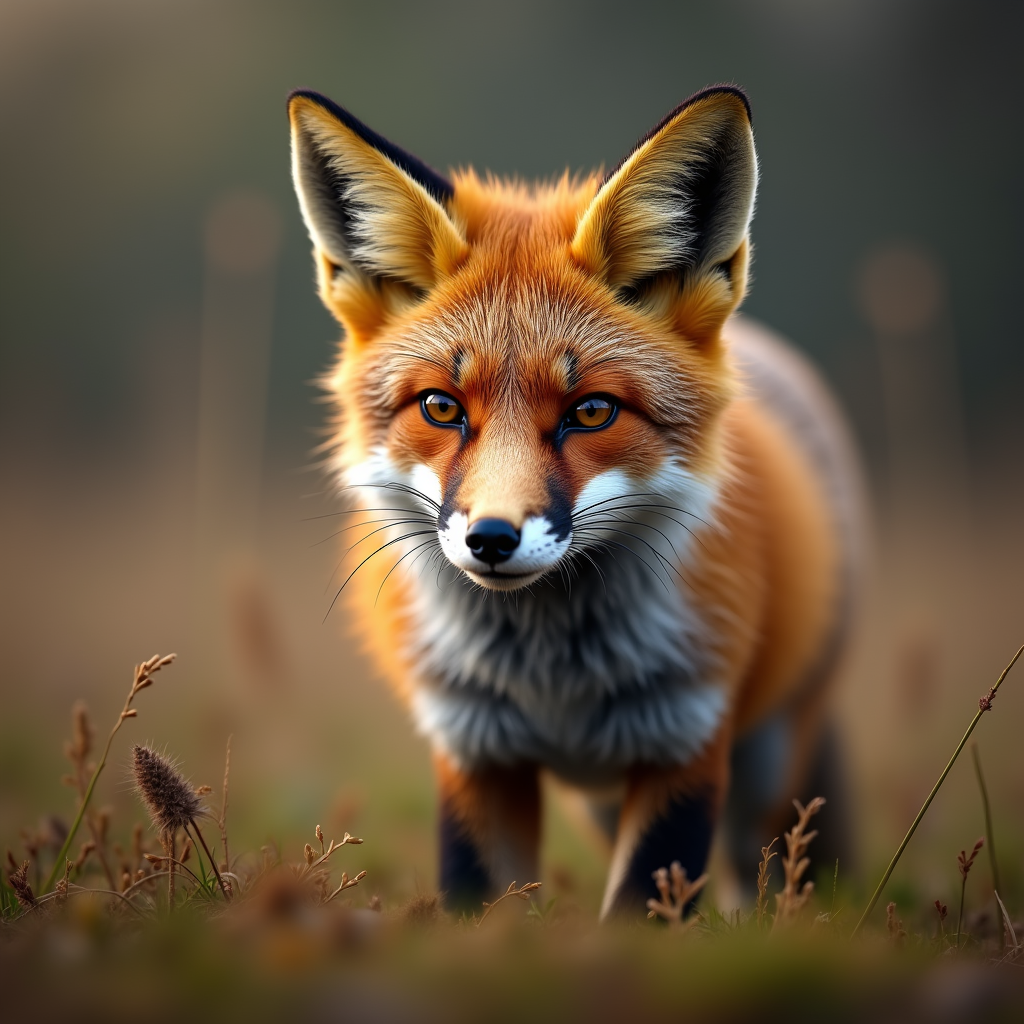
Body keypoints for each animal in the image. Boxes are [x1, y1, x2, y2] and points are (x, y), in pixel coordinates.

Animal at [287, 85, 864, 919]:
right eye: (440, 407)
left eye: (591, 412)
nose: (492, 538)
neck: (553, 679)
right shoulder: (473, 747)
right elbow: (484, 906)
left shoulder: (687, 737)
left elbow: (642, 911)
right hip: (598, 800)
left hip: (766, 763)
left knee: (754, 868)